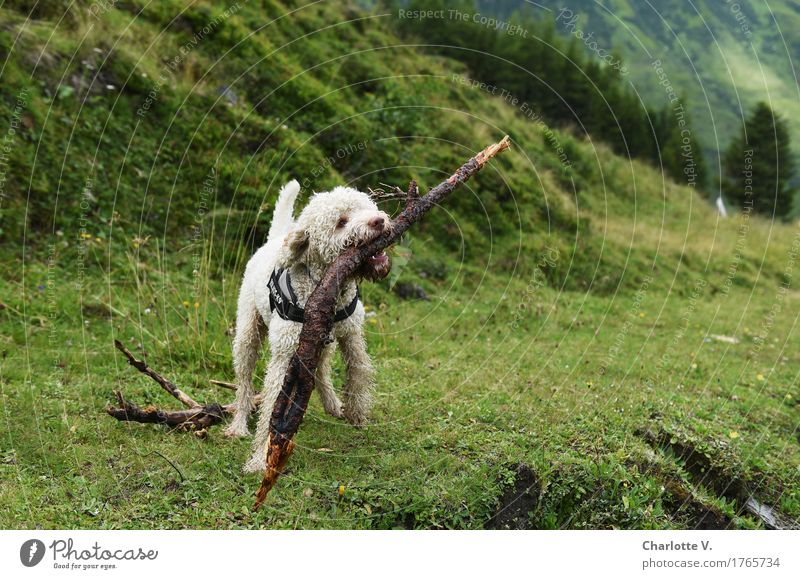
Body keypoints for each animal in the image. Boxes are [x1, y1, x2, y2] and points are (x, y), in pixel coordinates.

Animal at [225, 181, 390, 476]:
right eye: (341, 222)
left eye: (367, 207)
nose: (378, 221)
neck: (326, 288)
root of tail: (275, 238)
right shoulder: (284, 353)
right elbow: (272, 404)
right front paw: (260, 458)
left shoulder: (351, 334)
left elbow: (358, 370)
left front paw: (357, 413)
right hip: (247, 333)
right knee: (244, 382)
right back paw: (238, 425)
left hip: (323, 343)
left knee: (321, 369)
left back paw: (333, 405)